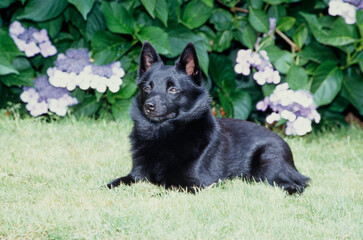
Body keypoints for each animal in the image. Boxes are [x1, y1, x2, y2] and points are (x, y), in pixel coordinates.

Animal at [108, 41, 310, 194]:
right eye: (147, 88)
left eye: (173, 89)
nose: (149, 106)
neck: (162, 135)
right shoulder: (136, 176)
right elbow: (113, 183)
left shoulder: (191, 185)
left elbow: (161, 193)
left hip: (267, 165)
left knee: (297, 185)